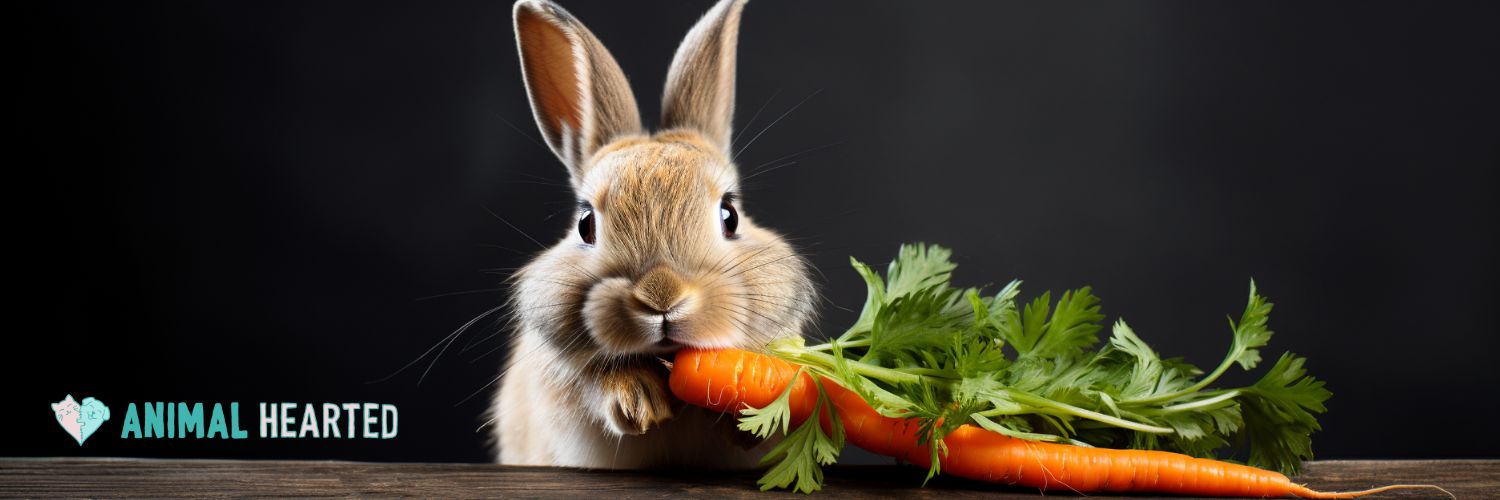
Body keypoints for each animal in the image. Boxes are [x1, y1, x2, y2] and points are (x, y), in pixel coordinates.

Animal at [492, 0, 816, 468]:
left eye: (730, 215)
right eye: (585, 224)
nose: (662, 297)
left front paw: (741, 417)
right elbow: (598, 383)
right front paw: (639, 404)